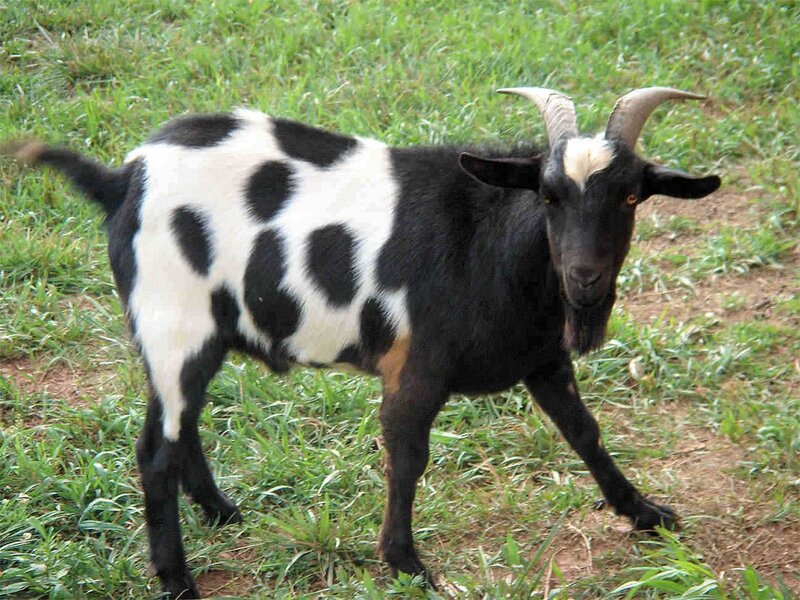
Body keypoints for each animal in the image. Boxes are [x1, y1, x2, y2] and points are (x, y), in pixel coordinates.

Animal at [5, 87, 720, 598]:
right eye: (548, 194)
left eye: (630, 196)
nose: (585, 278)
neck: (489, 245)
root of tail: (120, 181)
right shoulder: (416, 367)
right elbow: (407, 457)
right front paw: (406, 564)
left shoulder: (542, 359)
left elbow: (584, 433)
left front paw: (645, 512)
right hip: (174, 324)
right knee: (156, 451)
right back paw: (180, 583)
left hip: (185, 338)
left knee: (177, 430)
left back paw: (224, 513)